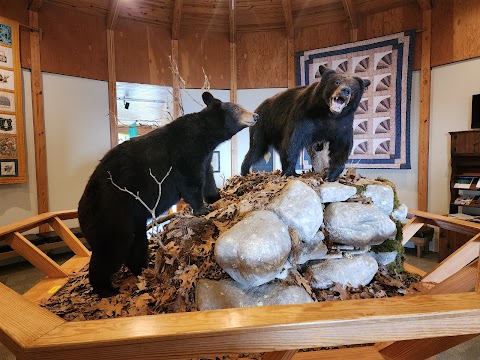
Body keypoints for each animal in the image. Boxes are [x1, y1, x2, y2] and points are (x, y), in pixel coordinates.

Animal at [79, 91, 258, 296]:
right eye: (237, 108)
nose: (255, 116)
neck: (204, 134)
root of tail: (81, 212)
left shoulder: (205, 156)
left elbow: (207, 176)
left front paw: (217, 197)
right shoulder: (185, 151)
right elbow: (189, 179)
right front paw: (202, 209)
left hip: (132, 219)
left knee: (136, 243)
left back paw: (142, 269)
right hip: (112, 214)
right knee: (112, 249)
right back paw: (106, 288)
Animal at [240, 64, 372, 180]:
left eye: (353, 87)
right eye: (337, 82)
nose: (345, 90)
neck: (328, 114)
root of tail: (257, 109)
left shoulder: (343, 124)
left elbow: (341, 148)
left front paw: (330, 174)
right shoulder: (303, 116)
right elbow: (293, 142)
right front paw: (290, 172)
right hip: (263, 126)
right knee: (257, 148)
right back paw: (245, 171)